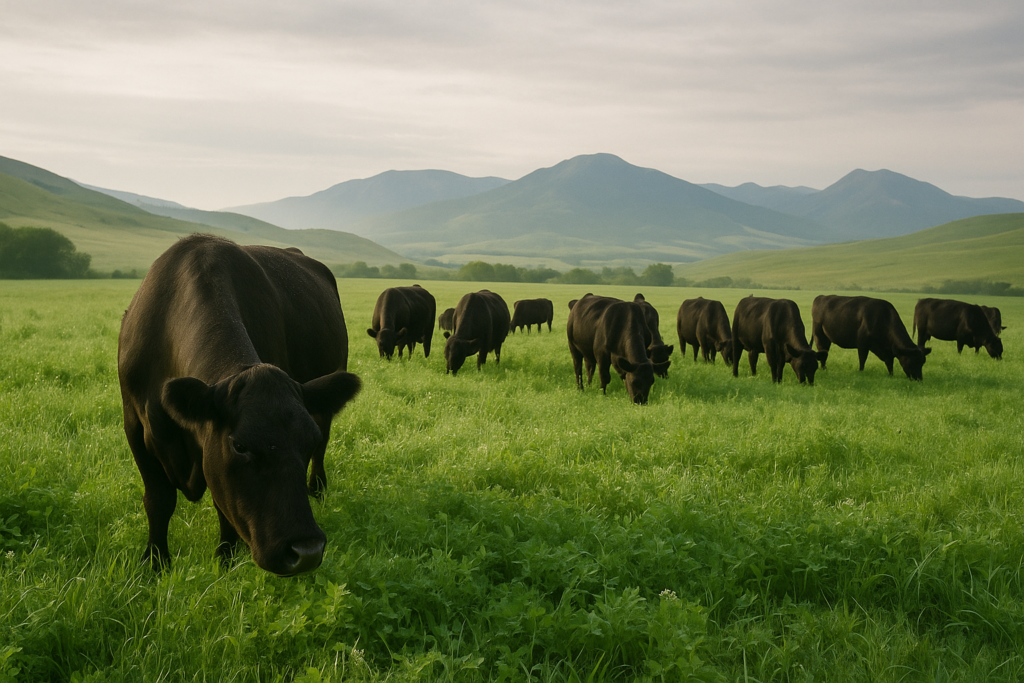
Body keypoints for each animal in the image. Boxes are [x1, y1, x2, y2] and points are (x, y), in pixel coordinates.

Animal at [117, 235, 361, 576]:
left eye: (306, 442)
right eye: (240, 446)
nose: (307, 552)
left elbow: (224, 508)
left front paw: (225, 560)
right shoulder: (135, 423)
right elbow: (158, 501)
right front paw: (155, 562)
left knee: (325, 441)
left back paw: (317, 487)